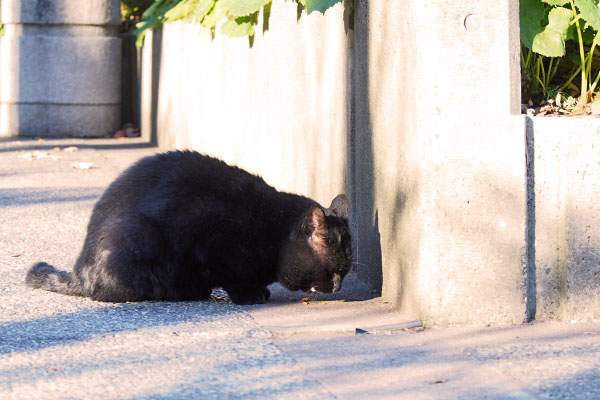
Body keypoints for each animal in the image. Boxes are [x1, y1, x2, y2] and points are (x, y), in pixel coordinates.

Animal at [24, 152, 352, 304]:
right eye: (332, 271)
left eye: (345, 272)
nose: (338, 286)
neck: (269, 228)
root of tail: (78, 269)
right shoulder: (213, 245)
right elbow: (233, 277)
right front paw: (250, 294)